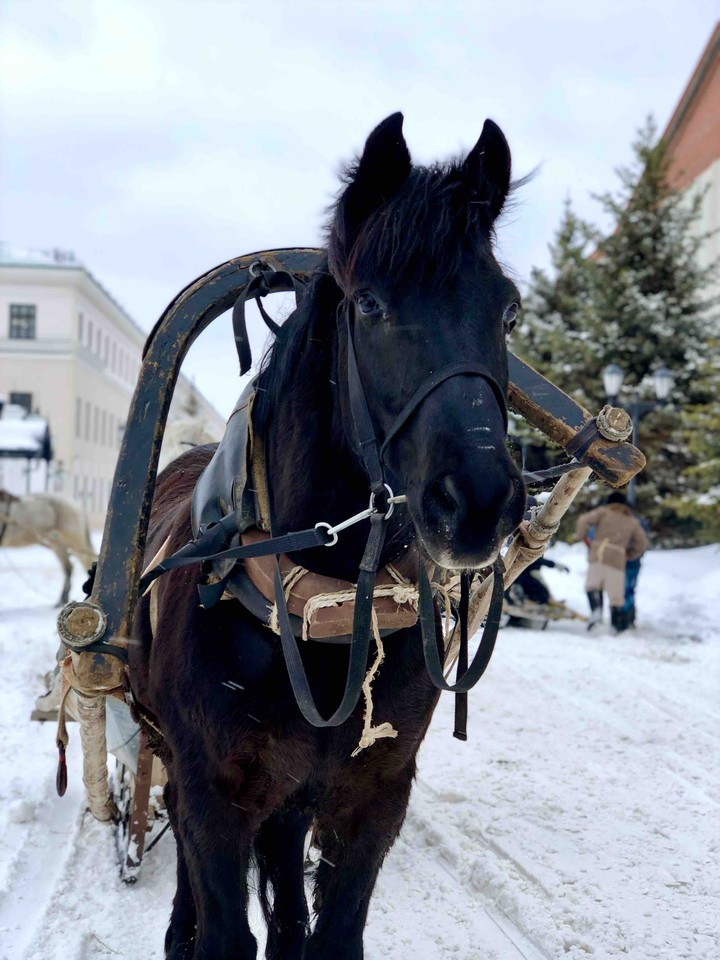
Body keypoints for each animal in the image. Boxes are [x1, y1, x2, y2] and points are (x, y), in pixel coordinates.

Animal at [131, 112, 527, 960]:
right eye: (371, 303)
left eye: (509, 310)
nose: (479, 502)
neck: (321, 606)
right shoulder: (214, 792)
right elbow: (219, 918)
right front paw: (196, 929)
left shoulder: (372, 797)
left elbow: (332, 931)